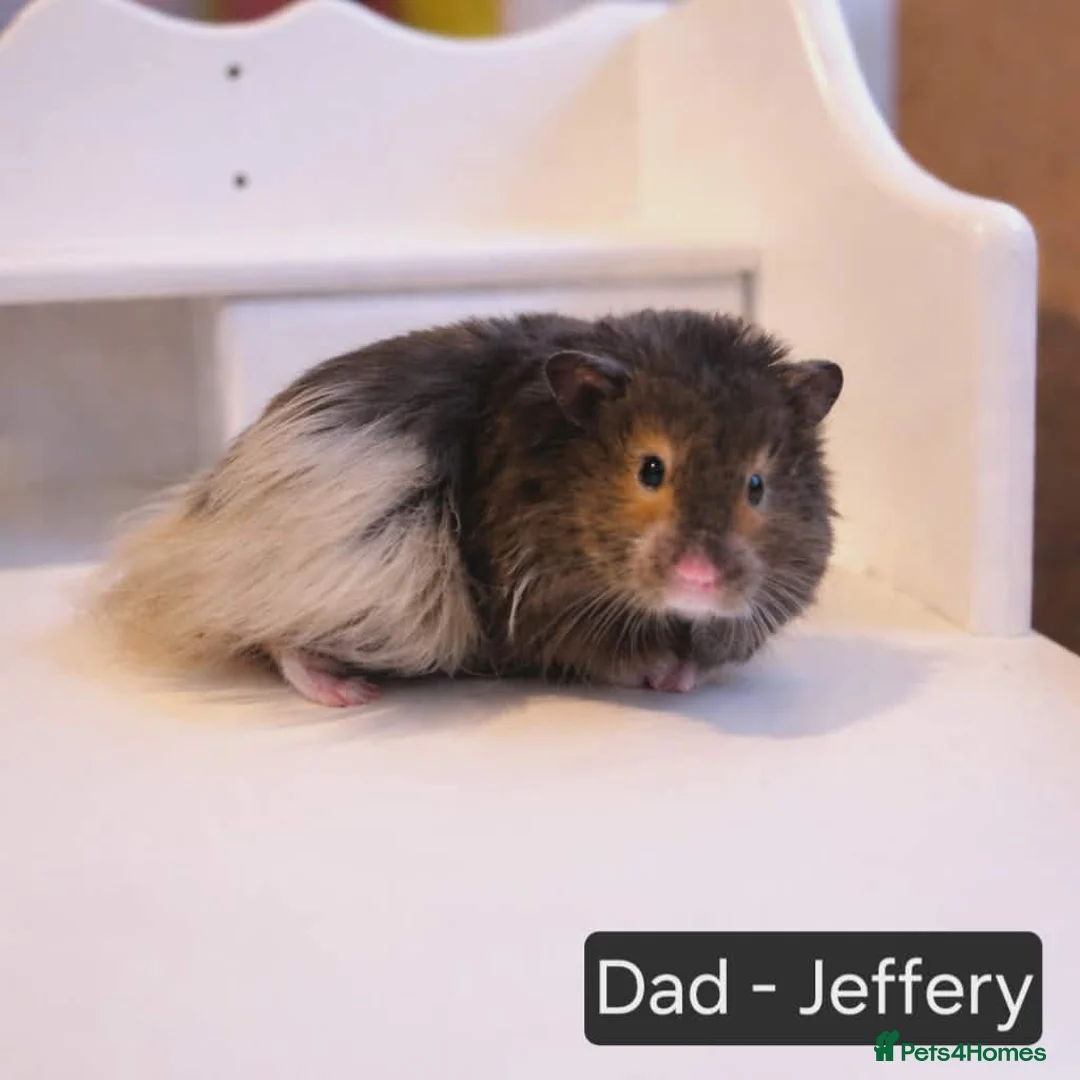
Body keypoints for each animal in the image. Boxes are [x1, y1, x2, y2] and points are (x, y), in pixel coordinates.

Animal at [90, 309, 843, 706]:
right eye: (650, 470)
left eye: (756, 485)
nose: (699, 579)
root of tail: (203, 507)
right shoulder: (546, 614)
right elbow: (607, 657)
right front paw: (660, 675)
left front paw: (684, 677)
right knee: (271, 634)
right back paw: (346, 693)